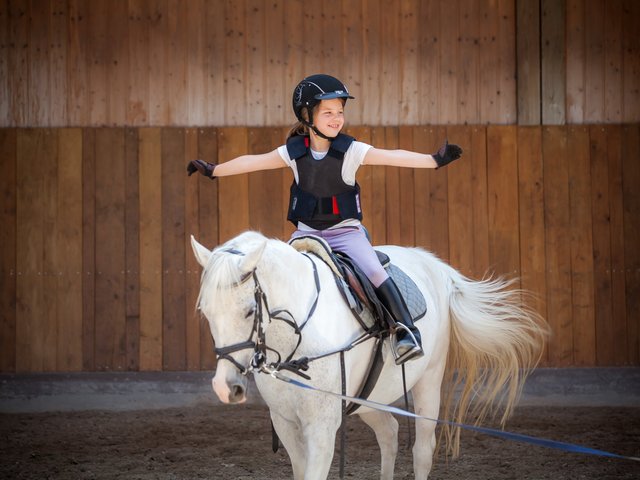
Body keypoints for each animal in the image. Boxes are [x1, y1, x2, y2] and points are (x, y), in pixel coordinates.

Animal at [190, 231, 544, 478]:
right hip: (368, 397)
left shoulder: (321, 427)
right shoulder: (286, 422)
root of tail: (433, 265)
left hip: (429, 382)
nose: (226, 387)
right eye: (206, 312)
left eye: (250, 311)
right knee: (389, 433)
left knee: (422, 450)